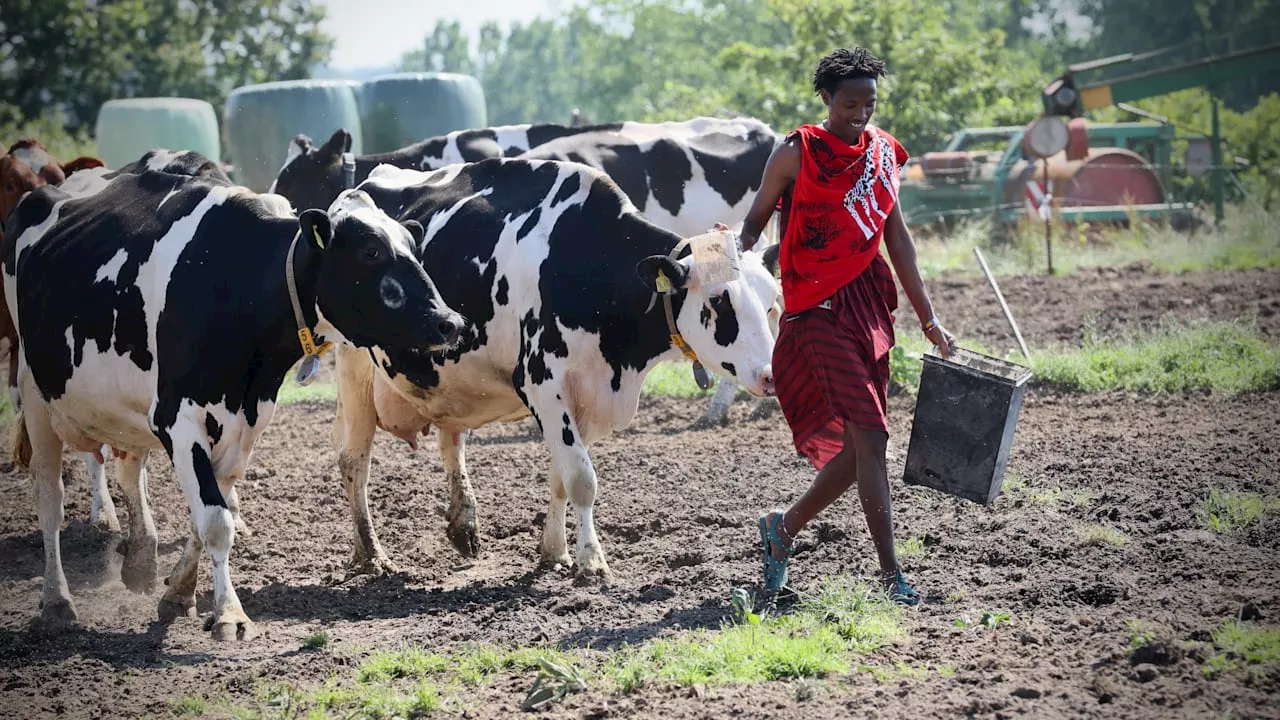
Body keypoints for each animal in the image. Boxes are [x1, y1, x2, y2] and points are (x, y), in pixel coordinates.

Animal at [3, 158, 465, 632]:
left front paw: (178, 593)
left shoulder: (245, 423)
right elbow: (214, 520)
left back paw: (140, 560)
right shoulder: (178, 421)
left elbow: (207, 515)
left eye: (414, 248)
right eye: (371, 251)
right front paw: (229, 614)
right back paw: (57, 601)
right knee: (49, 500)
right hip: (35, 394)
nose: (450, 321)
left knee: (129, 469)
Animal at [330, 158, 778, 576]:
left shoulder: (587, 396)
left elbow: (561, 477)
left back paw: (464, 525)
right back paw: (371, 554)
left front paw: (555, 551)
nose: (770, 374)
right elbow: (582, 478)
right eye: (720, 300)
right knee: (355, 462)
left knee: (451, 444)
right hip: (353, 366)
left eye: (773, 300)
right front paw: (591, 561)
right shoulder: (541, 383)